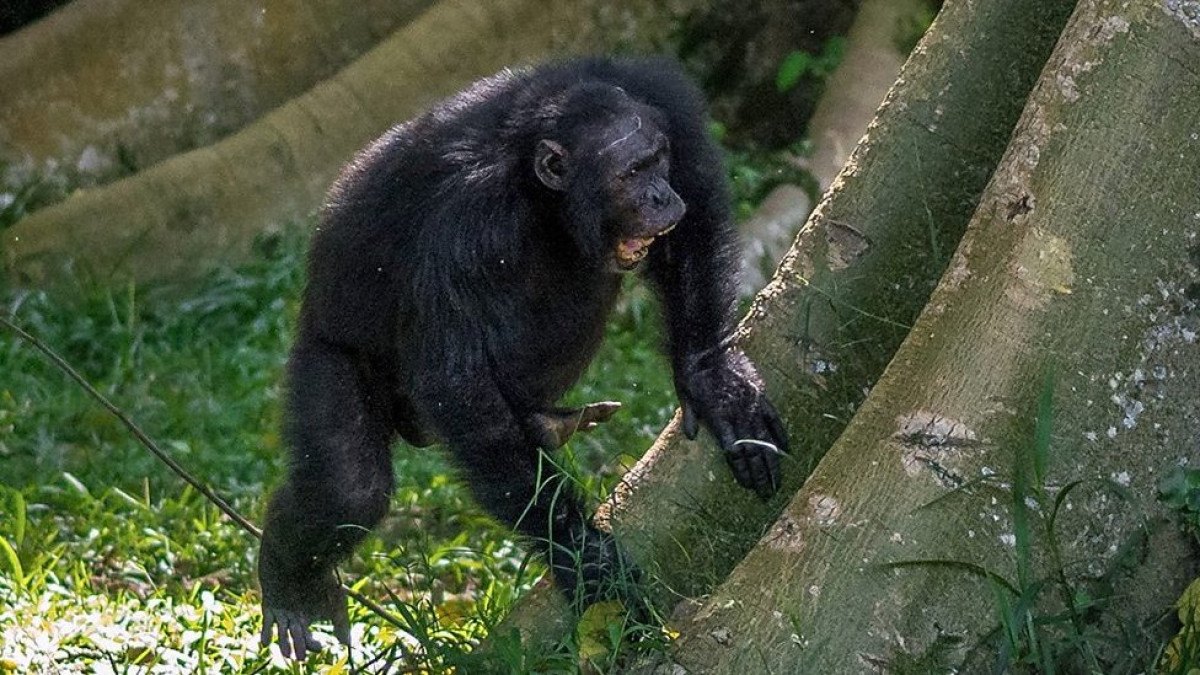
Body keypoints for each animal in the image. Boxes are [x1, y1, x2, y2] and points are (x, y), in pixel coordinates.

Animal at [255, 56, 787, 658]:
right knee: (349, 487)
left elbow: (695, 209)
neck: (536, 185)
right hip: (325, 354)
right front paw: (581, 555)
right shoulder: (462, 229)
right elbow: (456, 382)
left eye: (657, 160)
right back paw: (291, 588)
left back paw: (548, 422)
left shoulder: (660, 96)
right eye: (631, 173)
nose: (660, 196)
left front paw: (714, 381)